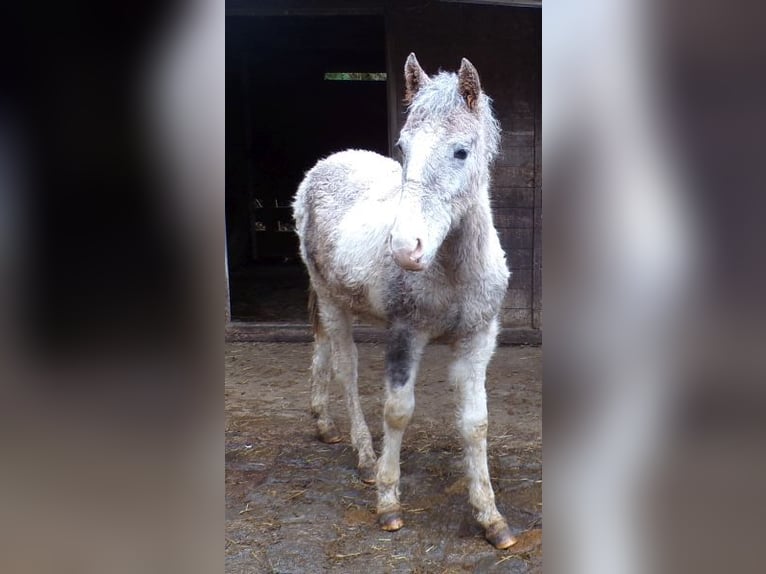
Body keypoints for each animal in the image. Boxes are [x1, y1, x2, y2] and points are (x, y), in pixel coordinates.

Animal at [292, 53, 514, 549]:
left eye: (461, 152)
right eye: (403, 146)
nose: (403, 248)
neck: (451, 269)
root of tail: (325, 164)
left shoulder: (478, 339)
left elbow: (475, 423)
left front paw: (491, 518)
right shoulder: (405, 334)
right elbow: (397, 412)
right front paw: (388, 500)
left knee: (320, 349)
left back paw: (322, 423)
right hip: (333, 301)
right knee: (346, 368)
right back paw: (362, 455)